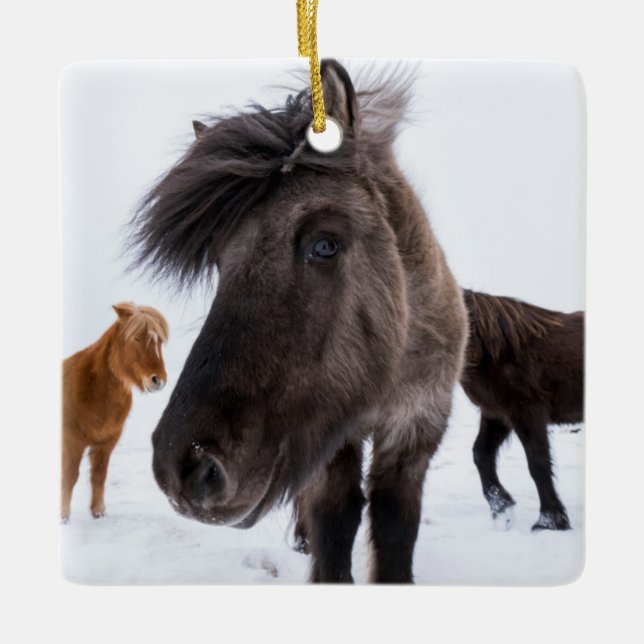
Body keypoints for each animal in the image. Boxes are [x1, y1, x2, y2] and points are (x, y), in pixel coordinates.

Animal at [61, 302, 168, 522]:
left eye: (159, 341)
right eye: (136, 338)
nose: (158, 380)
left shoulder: (106, 442)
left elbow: (99, 475)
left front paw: (99, 512)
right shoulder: (72, 441)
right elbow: (69, 477)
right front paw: (63, 516)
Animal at [129, 59, 467, 583]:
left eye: (325, 244)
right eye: (220, 261)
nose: (184, 468)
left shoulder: (415, 431)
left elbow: (394, 524)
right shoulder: (331, 437)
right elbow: (335, 519)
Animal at [460, 289, 584, 531]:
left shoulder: (527, 413)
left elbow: (538, 464)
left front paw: (549, 520)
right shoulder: (497, 414)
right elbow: (481, 453)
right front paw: (502, 508)